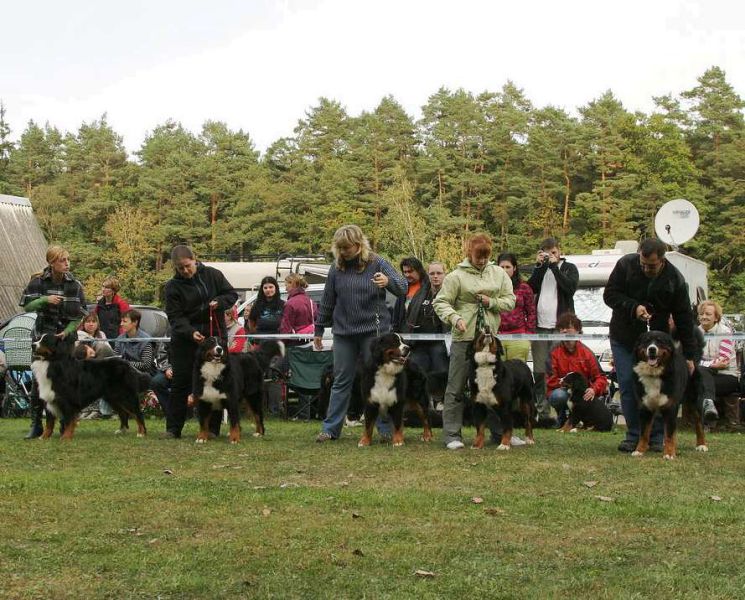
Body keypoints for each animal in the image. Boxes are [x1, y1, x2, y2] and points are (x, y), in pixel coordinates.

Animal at [632, 330, 708, 458]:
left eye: (660, 341)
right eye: (646, 341)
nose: (652, 349)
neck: (655, 374)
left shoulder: (670, 406)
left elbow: (669, 434)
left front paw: (668, 454)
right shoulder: (645, 407)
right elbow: (644, 433)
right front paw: (639, 451)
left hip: (695, 401)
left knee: (699, 424)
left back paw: (702, 445)